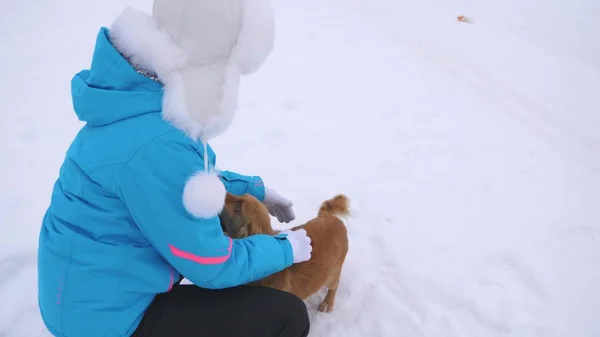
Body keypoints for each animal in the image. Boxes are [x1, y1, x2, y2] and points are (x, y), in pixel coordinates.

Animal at [219, 192, 352, 312]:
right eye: (241, 195)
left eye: (239, 203)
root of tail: (329, 217)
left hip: (332, 273)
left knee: (334, 285)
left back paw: (327, 302)